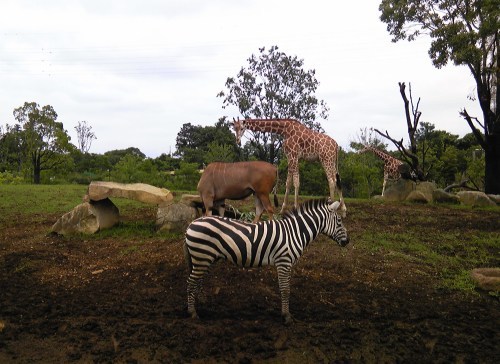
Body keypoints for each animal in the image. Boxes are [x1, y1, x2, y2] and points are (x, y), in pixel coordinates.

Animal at [183, 196, 348, 324]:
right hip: (202, 256)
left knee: (197, 281)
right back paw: (192, 313)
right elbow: (285, 290)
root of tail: (192, 223)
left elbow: (286, 289)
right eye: (339, 220)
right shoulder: (284, 262)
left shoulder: (287, 264)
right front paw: (287, 317)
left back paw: (200, 303)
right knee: (191, 282)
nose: (348, 241)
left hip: (206, 258)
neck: (294, 232)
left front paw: (286, 314)